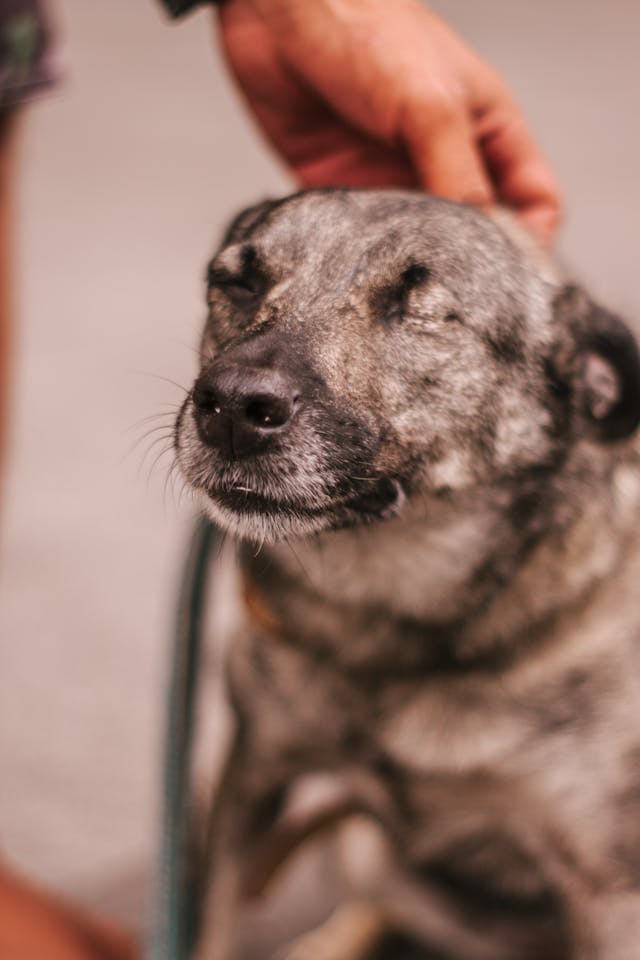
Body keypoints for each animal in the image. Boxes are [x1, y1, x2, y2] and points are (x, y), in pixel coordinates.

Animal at [175, 189, 640, 960]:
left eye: (419, 307)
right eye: (236, 282)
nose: (233, 407)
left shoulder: (607, 890)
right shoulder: (256, 769)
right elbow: (210, 930)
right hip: (364, 850)